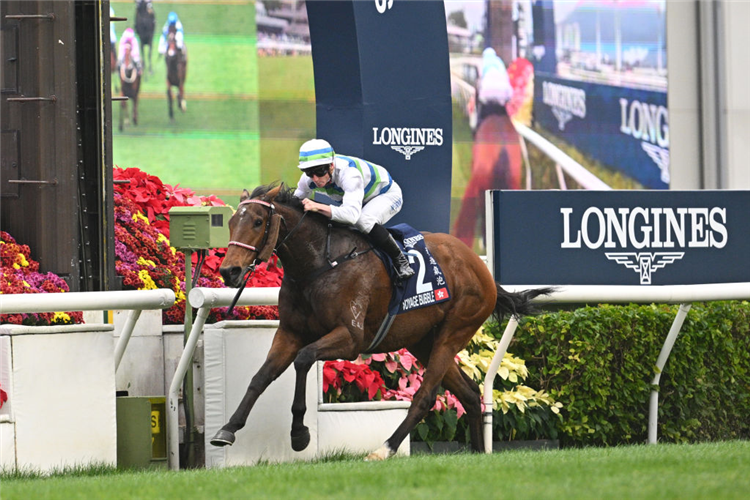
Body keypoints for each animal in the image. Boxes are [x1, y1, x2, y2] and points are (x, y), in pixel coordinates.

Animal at [212, 184, 552, 460]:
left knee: (425, 396)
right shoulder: (290, 332)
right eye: (230, 222)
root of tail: (481, 268)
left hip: (455, 330)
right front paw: (227, 429)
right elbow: (261, 377)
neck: (320, 263)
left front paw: (299, 434)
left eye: (257, 222)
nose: (229, 271)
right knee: (468, 391)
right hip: (422, 340)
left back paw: (384, 448)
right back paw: (479, 453)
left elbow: (304, 359)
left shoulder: (350, 338)